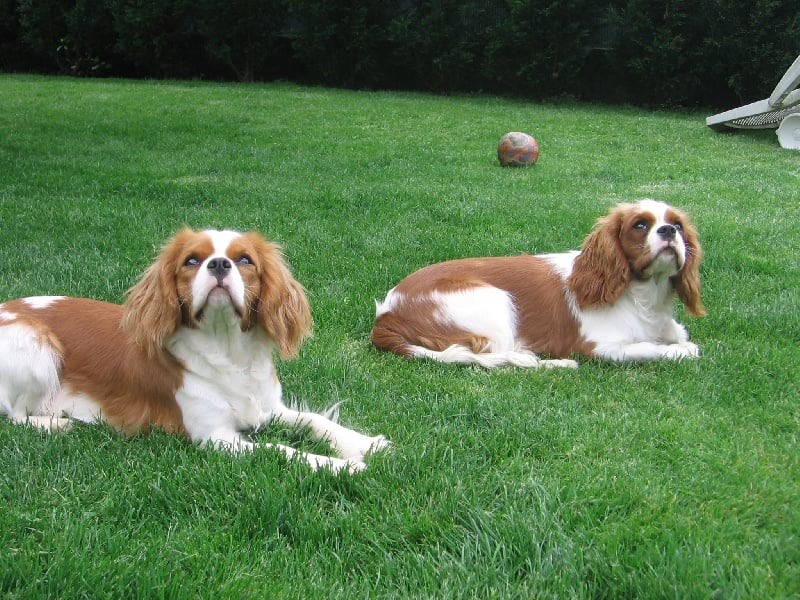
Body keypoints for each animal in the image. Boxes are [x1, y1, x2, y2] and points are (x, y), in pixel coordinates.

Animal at [0, 228, 389, 473]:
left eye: (244, 260)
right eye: (191, 261)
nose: (218, 264)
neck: (227, 349)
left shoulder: (267, 409)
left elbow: (314, 420)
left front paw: (364, 444)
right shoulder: (217, 438)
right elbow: (282, 450)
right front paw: (339, 465)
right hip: (34, 344)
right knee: (15, 415)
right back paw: (56, 425)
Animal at [371, 199, 705, 368]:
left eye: (677, 225)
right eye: (640, 225)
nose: (668, 230)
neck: (643, 295)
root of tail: (386, 314)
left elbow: (675, 334)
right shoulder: (600, 347)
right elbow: (652, 348)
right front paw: (679, 350)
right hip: (493, 300)